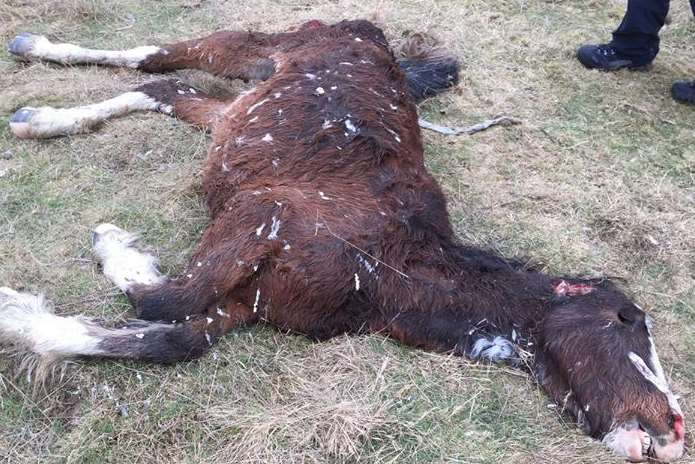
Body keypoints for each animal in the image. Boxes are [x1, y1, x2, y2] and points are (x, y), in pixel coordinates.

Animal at [0, 18, 684, 460]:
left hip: (234, 119)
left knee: (166, 92)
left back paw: (41, 119)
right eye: (629, 325)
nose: (673, 433)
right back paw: (33, 52)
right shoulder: (261, 214)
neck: (388, 270)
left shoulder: (248, 303)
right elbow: (165, 298)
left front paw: (25, 320)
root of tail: (368, 29)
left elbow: (168, 337)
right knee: (156, 58)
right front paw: (108, 245)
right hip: (257, 49)